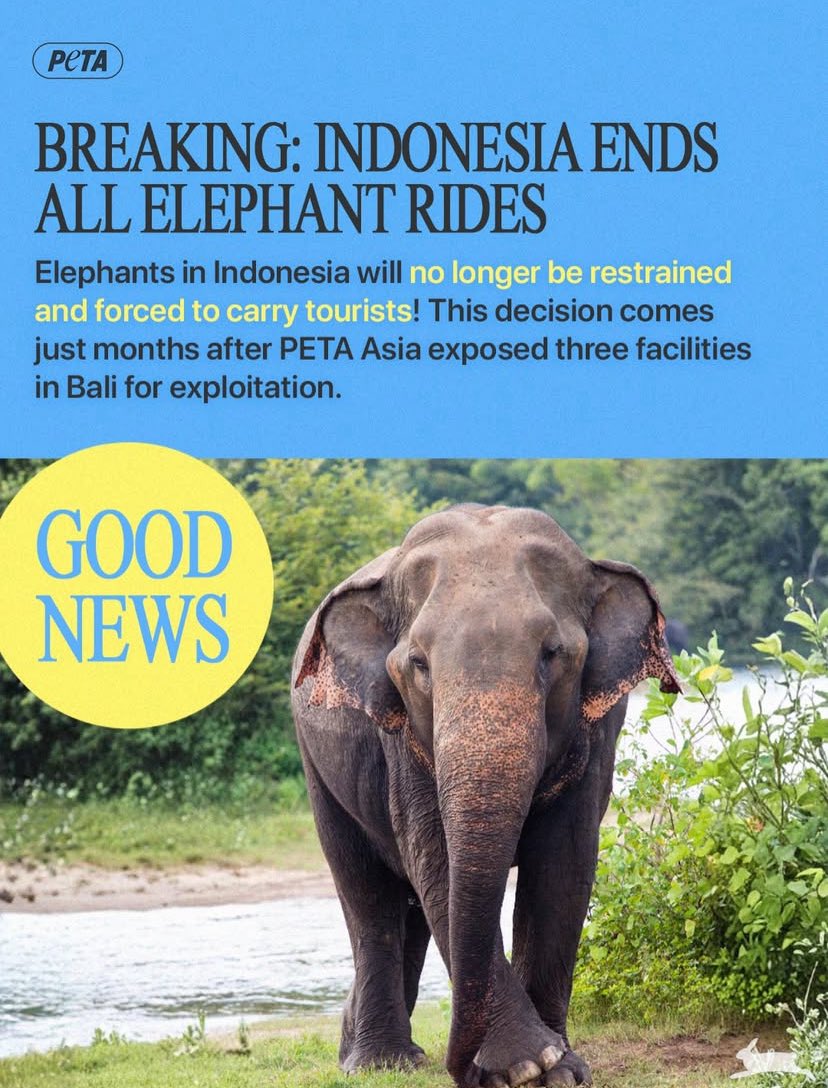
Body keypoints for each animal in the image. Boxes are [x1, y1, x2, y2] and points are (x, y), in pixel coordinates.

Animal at [291, 505, 679, 1087]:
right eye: (419, 663)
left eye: (552, 653)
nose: (465, 1069)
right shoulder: (400, 735)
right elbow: (437, 861)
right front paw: (527, 1065)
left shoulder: (600, 728)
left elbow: (563, 863)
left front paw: (557, 1070)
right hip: (317, 767)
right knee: (366, 893)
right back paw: (382, 1062)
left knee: (406, 908)